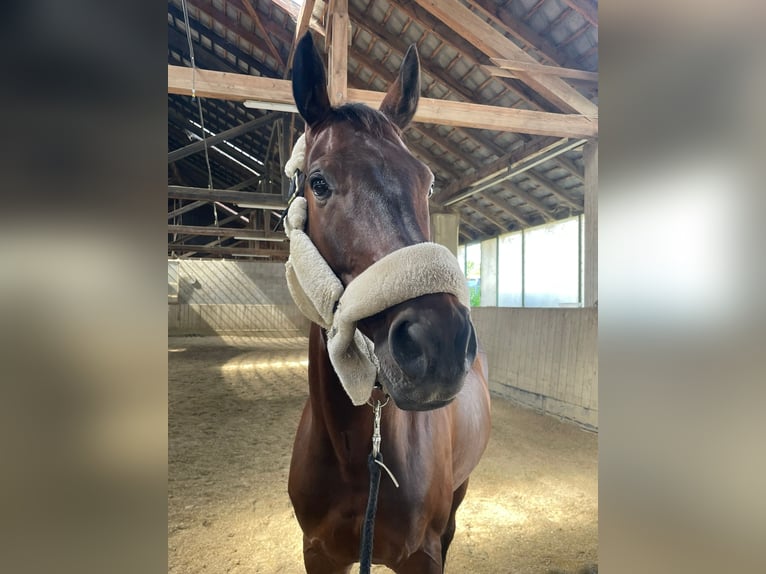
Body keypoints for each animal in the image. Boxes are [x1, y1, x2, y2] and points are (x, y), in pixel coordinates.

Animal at [286, 32, 492, 574]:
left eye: (428, 181)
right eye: (318, 182)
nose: (440, 343)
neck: (356, 452)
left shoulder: (421, 555)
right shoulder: (318, 554)